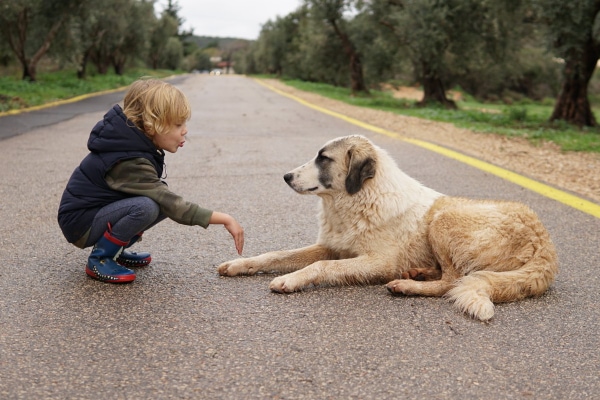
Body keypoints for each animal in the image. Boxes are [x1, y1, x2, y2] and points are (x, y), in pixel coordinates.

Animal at [218, 136, 560, 320]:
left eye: (323, 159)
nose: (286, 176)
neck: (357, 199)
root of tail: (545, 242)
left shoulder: (377, 262)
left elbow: (322, 266)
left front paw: (290, 279)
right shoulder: (330, 246)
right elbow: (276, 255)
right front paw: (240, 264)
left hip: (443, 219)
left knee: (452, 281)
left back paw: (407, 285)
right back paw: (417, 273)